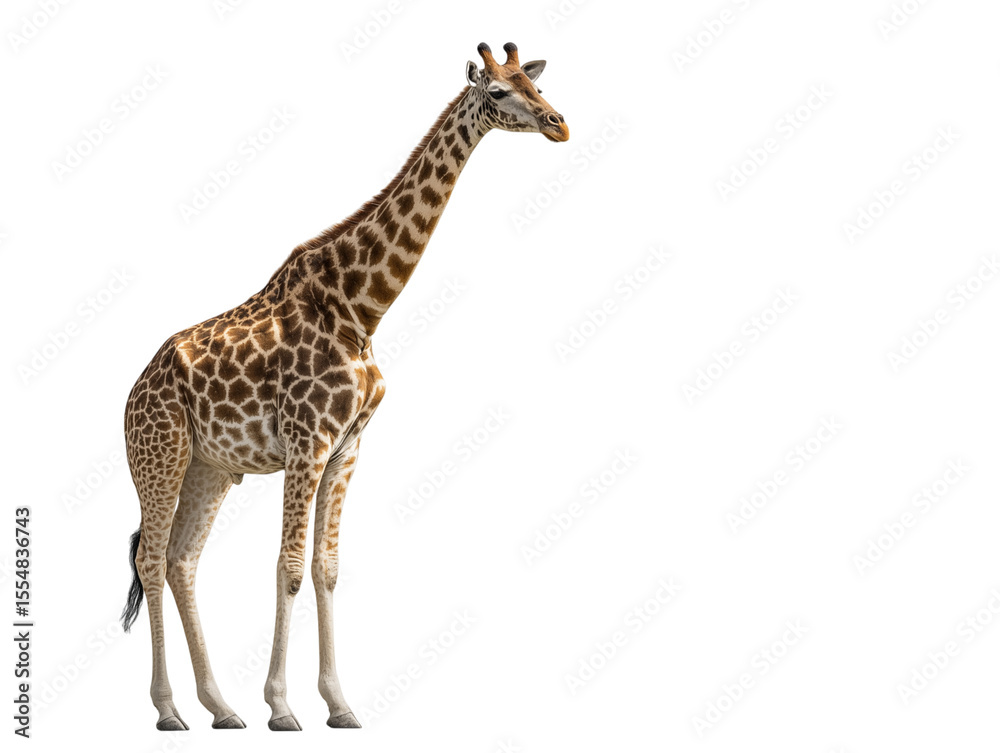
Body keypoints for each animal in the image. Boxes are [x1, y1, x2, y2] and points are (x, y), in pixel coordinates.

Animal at [120, 42, 569, 732]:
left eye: (533, 83)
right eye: (497, 92)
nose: (558, 124)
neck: (363, 308)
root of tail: (133, 392)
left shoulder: (347, 446)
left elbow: (326, 568)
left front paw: (339, 704)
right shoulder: (306, 442)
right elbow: (288, 567)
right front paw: (282, 707)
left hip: (210, 467)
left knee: (181, 560)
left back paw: (220, 707)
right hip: (160, 456)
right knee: (150, 557)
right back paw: (170, 710)